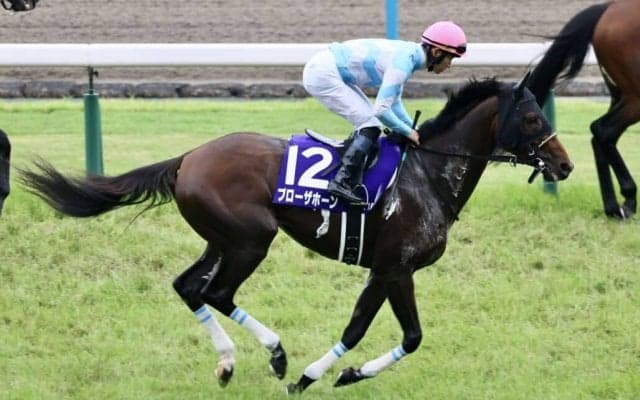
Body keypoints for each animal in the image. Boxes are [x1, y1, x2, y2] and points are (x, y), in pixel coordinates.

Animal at [18, 75, 573, 393]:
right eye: (531, 117)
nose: (565, 165)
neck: (427, 175)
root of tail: (188, 157)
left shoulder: (383, 269)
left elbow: (358, 328)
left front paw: (328, 375)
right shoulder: (397, 268)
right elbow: (409, 336)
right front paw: (313, 375)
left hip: (220, 239)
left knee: (188, 286)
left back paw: (227, 364)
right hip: (251, 238)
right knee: (217, 292)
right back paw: (276, 355)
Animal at [528, 1, 640, 219]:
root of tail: (609, 7)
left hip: (620, 94)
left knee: (601, 135)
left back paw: (613, 207)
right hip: (635, 97)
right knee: (603, 130)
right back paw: (627, 200)